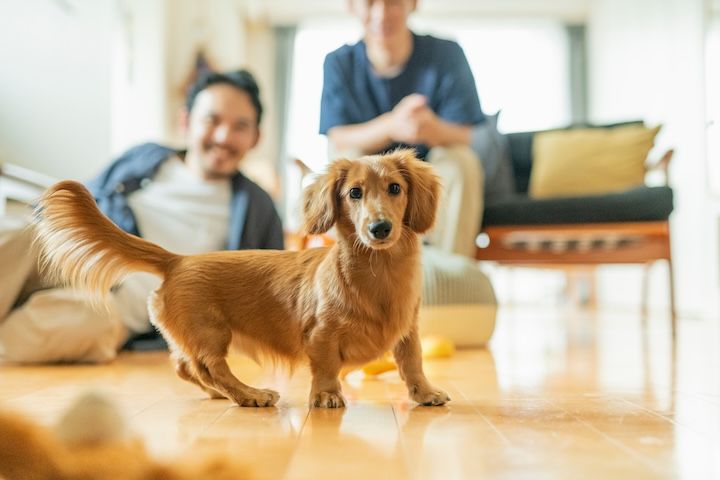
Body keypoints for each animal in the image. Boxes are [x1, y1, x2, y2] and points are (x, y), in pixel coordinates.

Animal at [35, 150, 450, 408]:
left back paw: (223, 394)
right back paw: (249, 395)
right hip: (212, 332)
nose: (380, 228)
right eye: (354, 193)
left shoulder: (408, 330)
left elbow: (412, 362)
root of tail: (177, 260)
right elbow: (326, 368)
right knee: (209, 367)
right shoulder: (321, 334)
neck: (378, 273)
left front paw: (424, 393)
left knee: (184, 366)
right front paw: (327, 396)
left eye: (395, 188)